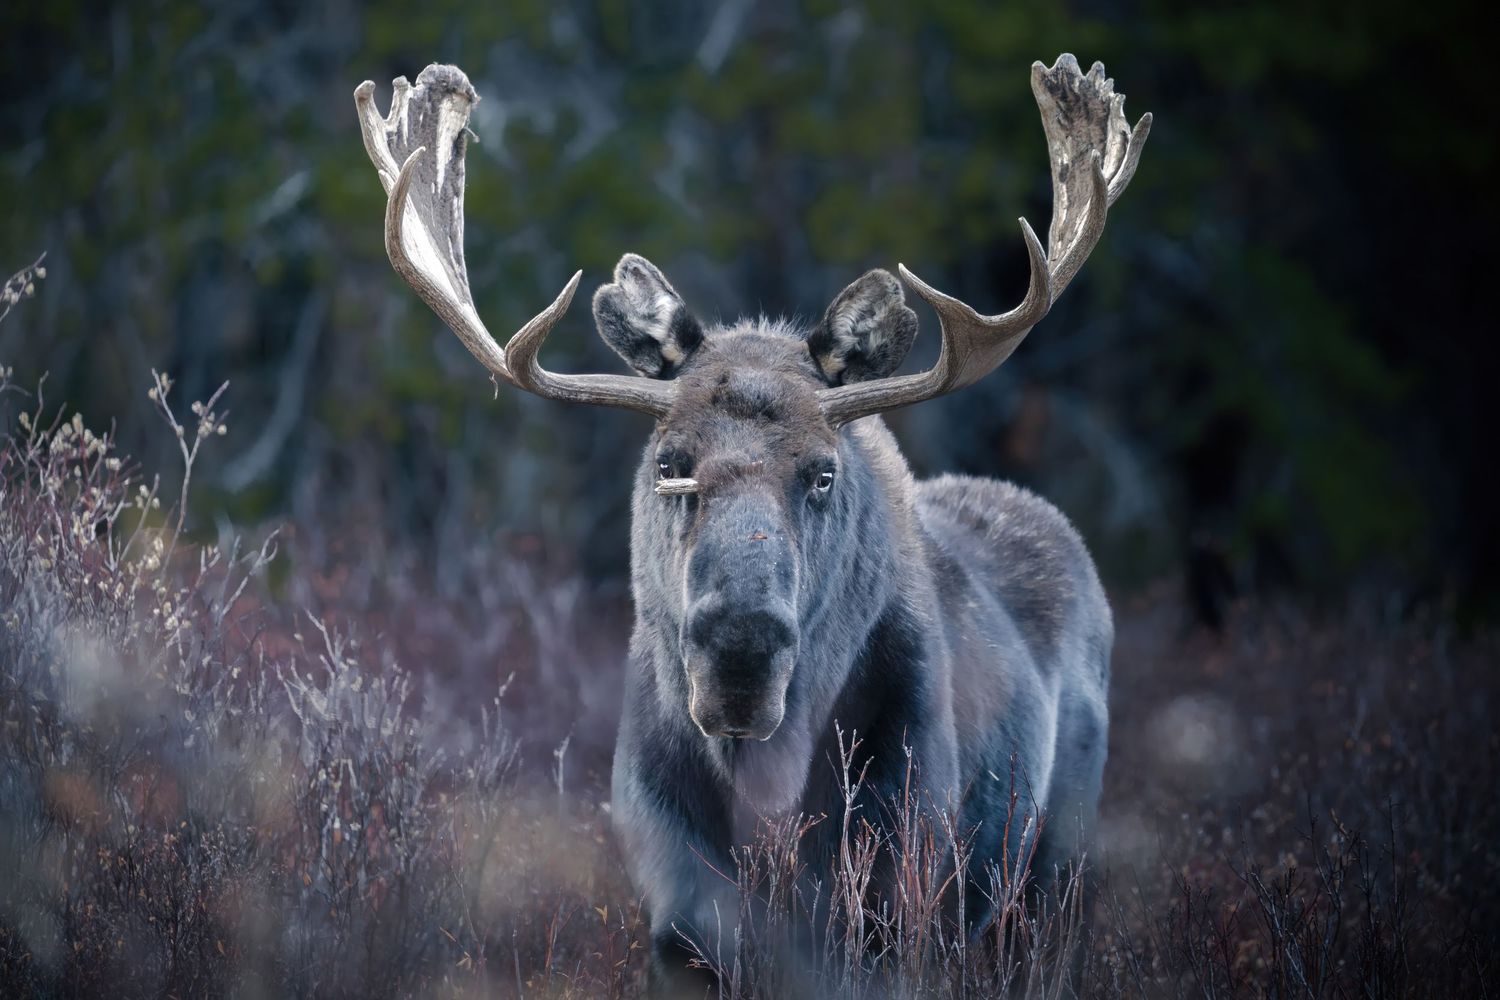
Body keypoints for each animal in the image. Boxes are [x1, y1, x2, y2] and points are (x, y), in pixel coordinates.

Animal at [355, 52, 1149, 991]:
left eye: (822, 472)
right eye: (670, 463)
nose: (738, 655)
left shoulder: (895, 911)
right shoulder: (679, 920)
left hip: (1053, 881)